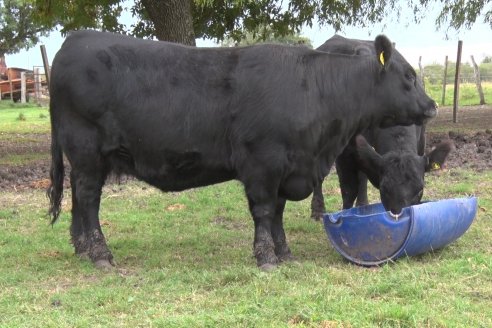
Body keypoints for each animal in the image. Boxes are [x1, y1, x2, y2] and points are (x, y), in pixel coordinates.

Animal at [48, 30, 436, 270]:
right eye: (408, 75)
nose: (431, 106)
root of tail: (75, 40)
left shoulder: (290, 167)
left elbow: (278, 212)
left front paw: (284, 253)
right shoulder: (263, 164)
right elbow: (264, 211)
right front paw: (266, 257)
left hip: (85, 157)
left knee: (78, 196)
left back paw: (81, 247)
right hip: (87, 151)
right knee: (89, 198)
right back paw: (100, 253)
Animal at [310, 35, 452, 220]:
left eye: (420, 190)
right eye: (384, 189)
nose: (399, 215)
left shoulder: (421, 141)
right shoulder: (345, 150)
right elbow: (349, 189)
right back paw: (318, 210)